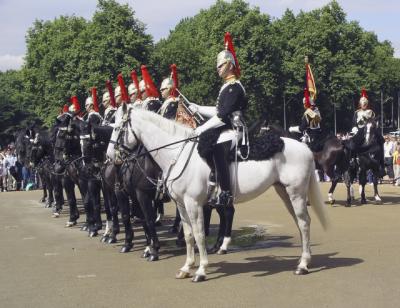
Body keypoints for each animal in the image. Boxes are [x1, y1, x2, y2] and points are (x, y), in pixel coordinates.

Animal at [107, 107, 328, 282]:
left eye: (117, 128)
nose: (110, 156)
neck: (177, 153)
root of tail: (304, 147)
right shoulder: (181, 205)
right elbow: (188, 235)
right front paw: (186, 267)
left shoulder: (193, 203)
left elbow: (199, 234)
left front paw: (201, 270)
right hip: (284, 192)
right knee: (300, 223)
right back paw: (304, 259)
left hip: (296, 193)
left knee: (304, 223)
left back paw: (303, 265)